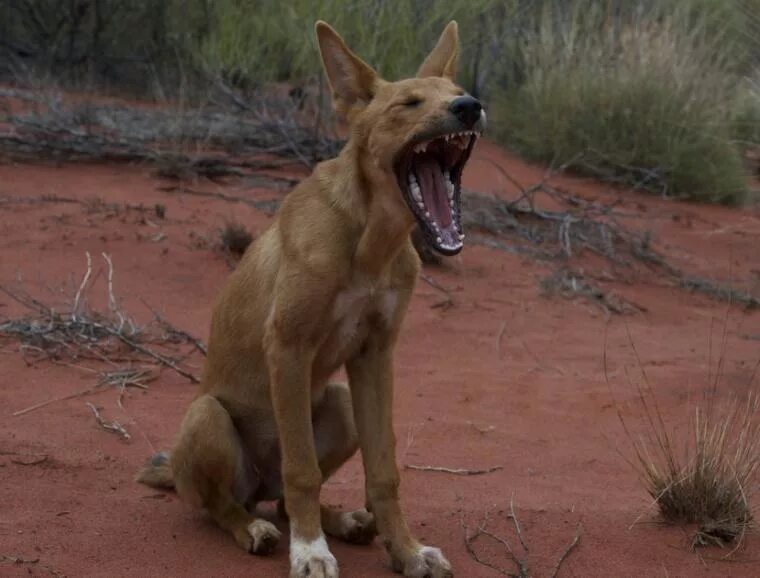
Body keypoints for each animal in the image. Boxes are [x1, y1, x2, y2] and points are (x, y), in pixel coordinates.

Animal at [137, 19, 484, 576]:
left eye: (458, 91)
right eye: (408, 103)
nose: (469, 107)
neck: (371, 240)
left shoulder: (376, 355)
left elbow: (384, 472)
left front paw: (406, 550)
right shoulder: (288, 346)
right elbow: (302, 471)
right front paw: (310, 551)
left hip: (339, 403)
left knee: (280, 497)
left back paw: (343, 521)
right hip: (207, 416)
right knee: (226, 504)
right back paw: (255, 529)